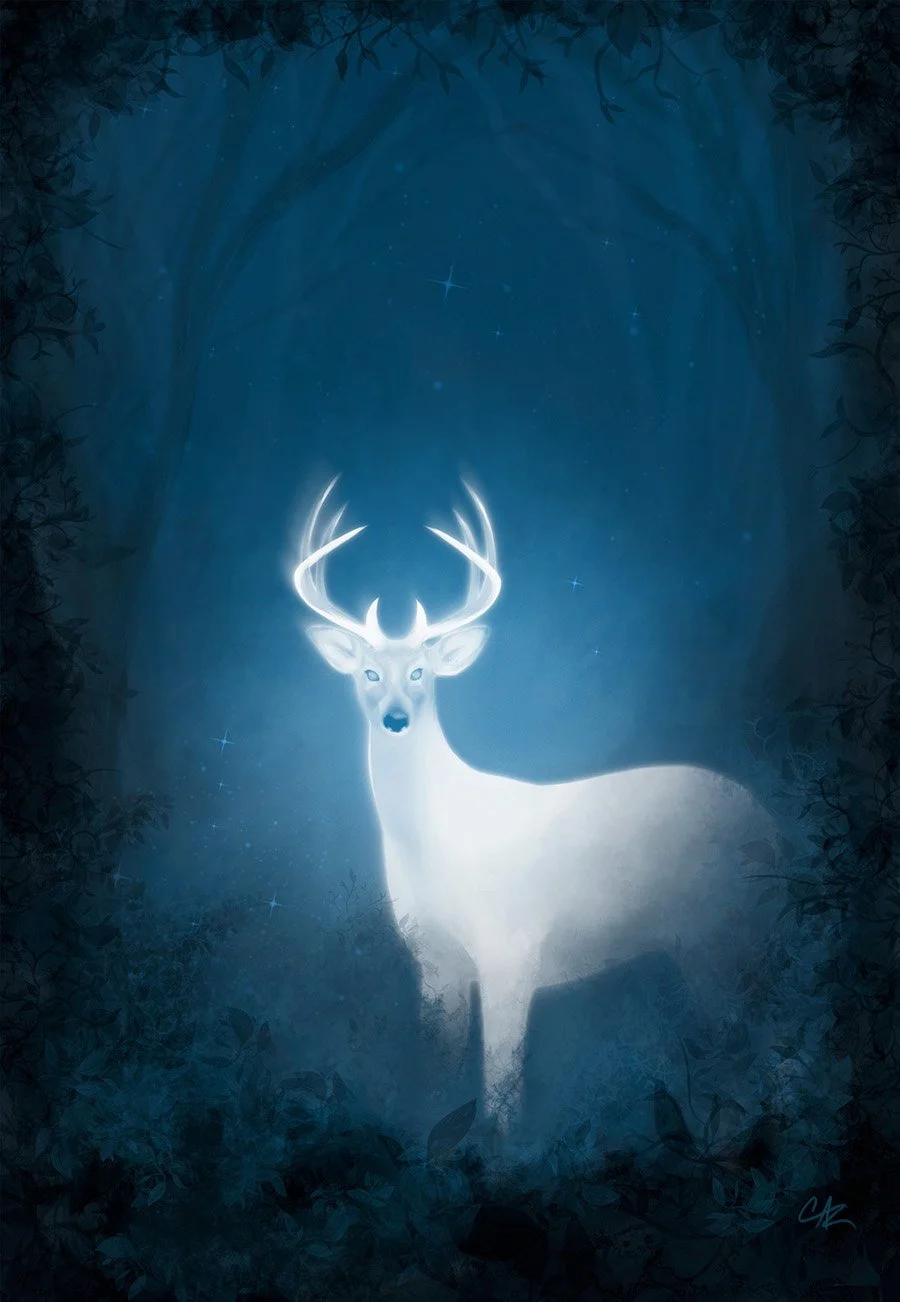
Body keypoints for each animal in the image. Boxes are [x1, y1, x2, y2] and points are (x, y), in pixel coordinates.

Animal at [293, 478, 775, 1133]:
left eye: (420, 672)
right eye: (368, 672)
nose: (395, 718)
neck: (435, 842)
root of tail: (773, 825)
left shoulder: (513, 947)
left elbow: (502, 1095)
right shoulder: (433, 963)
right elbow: (438, 1080)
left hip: (722, 931)